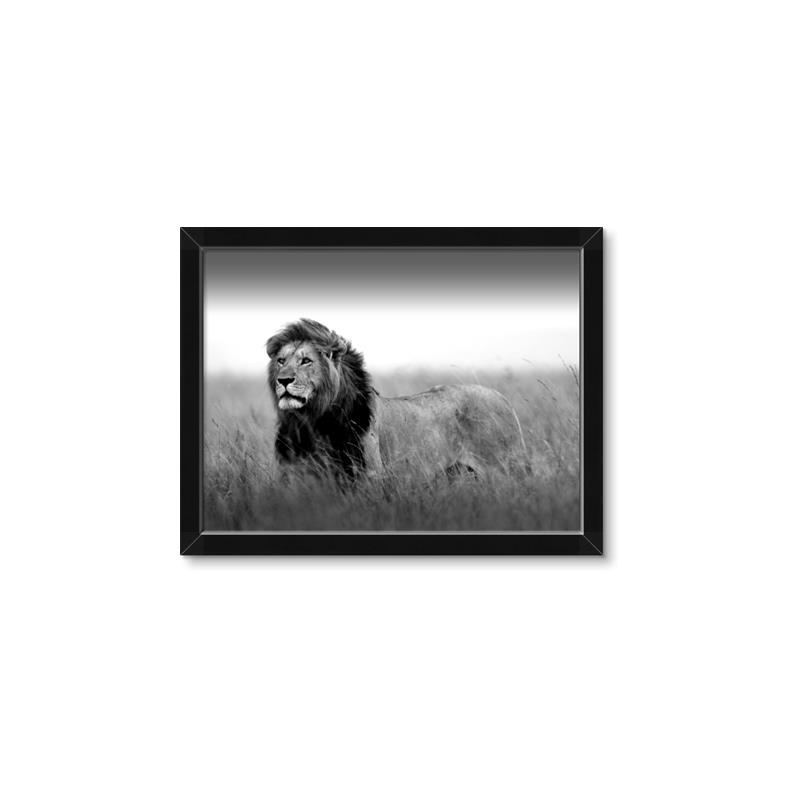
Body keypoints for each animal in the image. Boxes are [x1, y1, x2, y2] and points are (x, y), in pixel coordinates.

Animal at [266, 319, 526, 479]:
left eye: (306, 361)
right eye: (281, 361)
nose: (284, 380)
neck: (312, 421)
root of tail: (501, 396)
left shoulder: (369, 477)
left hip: (505, 471)